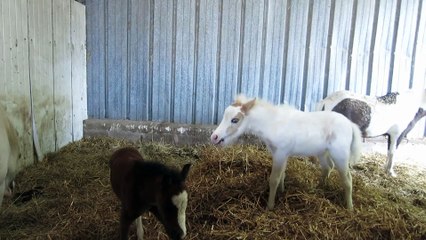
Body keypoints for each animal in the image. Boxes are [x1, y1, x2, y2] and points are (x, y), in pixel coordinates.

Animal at [211, 94, 362, 209]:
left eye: (235, 120)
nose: (214, 137)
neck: (273, 123)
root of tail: (350, 124)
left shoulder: (281, 153)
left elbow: (274, 179)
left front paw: (270, 206)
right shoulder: (279, 154)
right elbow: (282, 175)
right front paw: (281, 193)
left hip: (340, 155)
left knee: (347, 180)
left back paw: (349, 208)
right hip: (322, 153)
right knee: (328, 167)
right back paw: (318, 188)